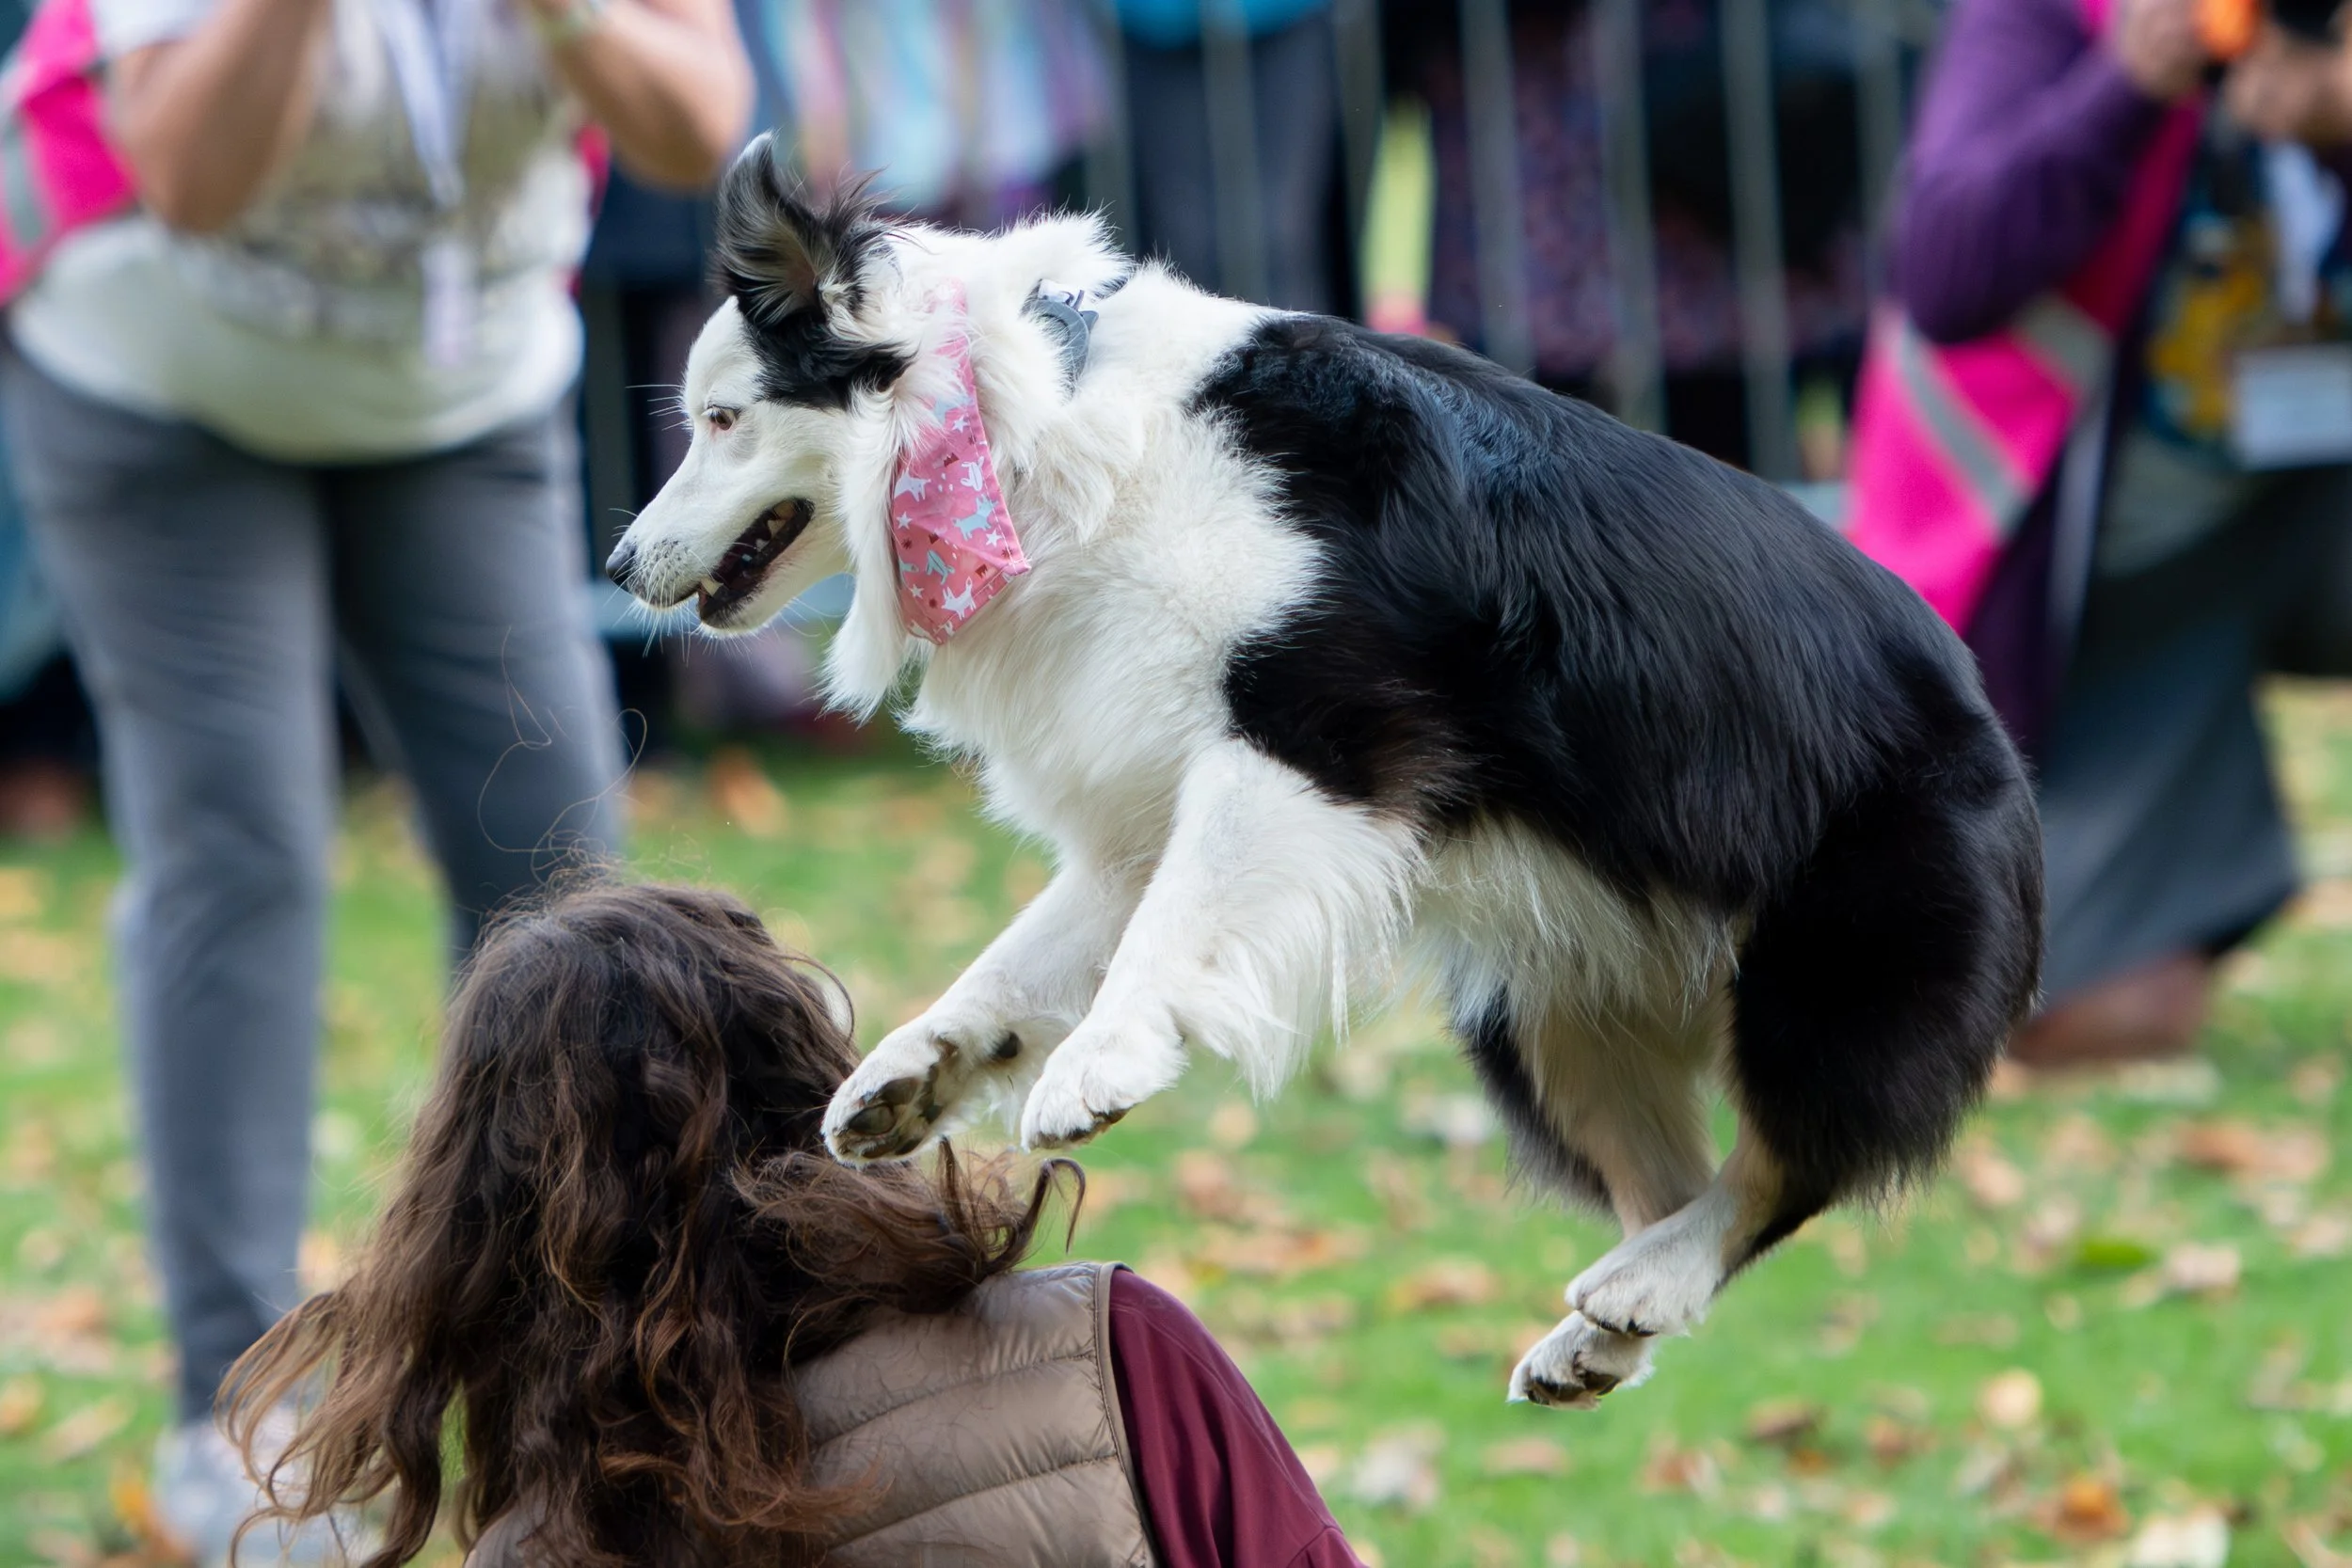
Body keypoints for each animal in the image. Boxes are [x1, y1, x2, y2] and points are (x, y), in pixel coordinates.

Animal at [606, 135, 2044, 1408]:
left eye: (722, 419)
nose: (617, 567)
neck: (1019, 423)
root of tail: (2003, 739)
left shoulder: (1312, 735)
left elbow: (1168, 928)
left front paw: (1097, 1068)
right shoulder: (1150, 785)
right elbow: (1033, 952)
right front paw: (916, 1067)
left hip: (1832, 957)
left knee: (1786, 1163)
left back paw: (1648, 1279)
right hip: (1547, 1008)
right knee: (1678, 1179)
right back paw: (1602, 1327)